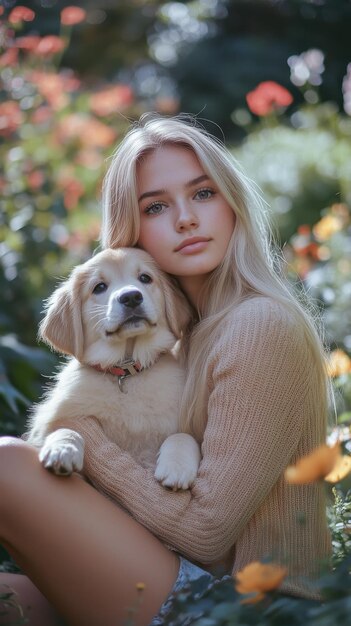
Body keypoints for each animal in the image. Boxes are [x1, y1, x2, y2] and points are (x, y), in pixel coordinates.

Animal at [26, 247, 202, 488]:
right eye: (99, 287)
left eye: (145, 278)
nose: (131, 297)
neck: (126, 372)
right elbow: (65, 428)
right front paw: (62, 449)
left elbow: (183, 436)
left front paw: (177, 467)